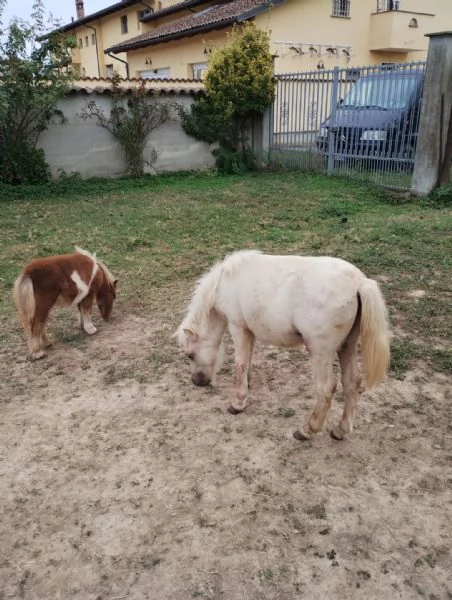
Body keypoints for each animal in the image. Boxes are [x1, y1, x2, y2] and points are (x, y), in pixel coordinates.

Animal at [175, 248, 390, 440]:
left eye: (190, 354)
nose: (197, 381)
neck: (225, 281)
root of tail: (359, 282)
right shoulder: (250, 331)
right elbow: (248, 360)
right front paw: (248, 385)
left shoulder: (238, 328)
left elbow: (240, 364)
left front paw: (238, 403)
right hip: (347, 346)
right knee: (352, 382)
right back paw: (341, 431)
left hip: (320, 352)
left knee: (326, 388)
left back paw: (307, 430)